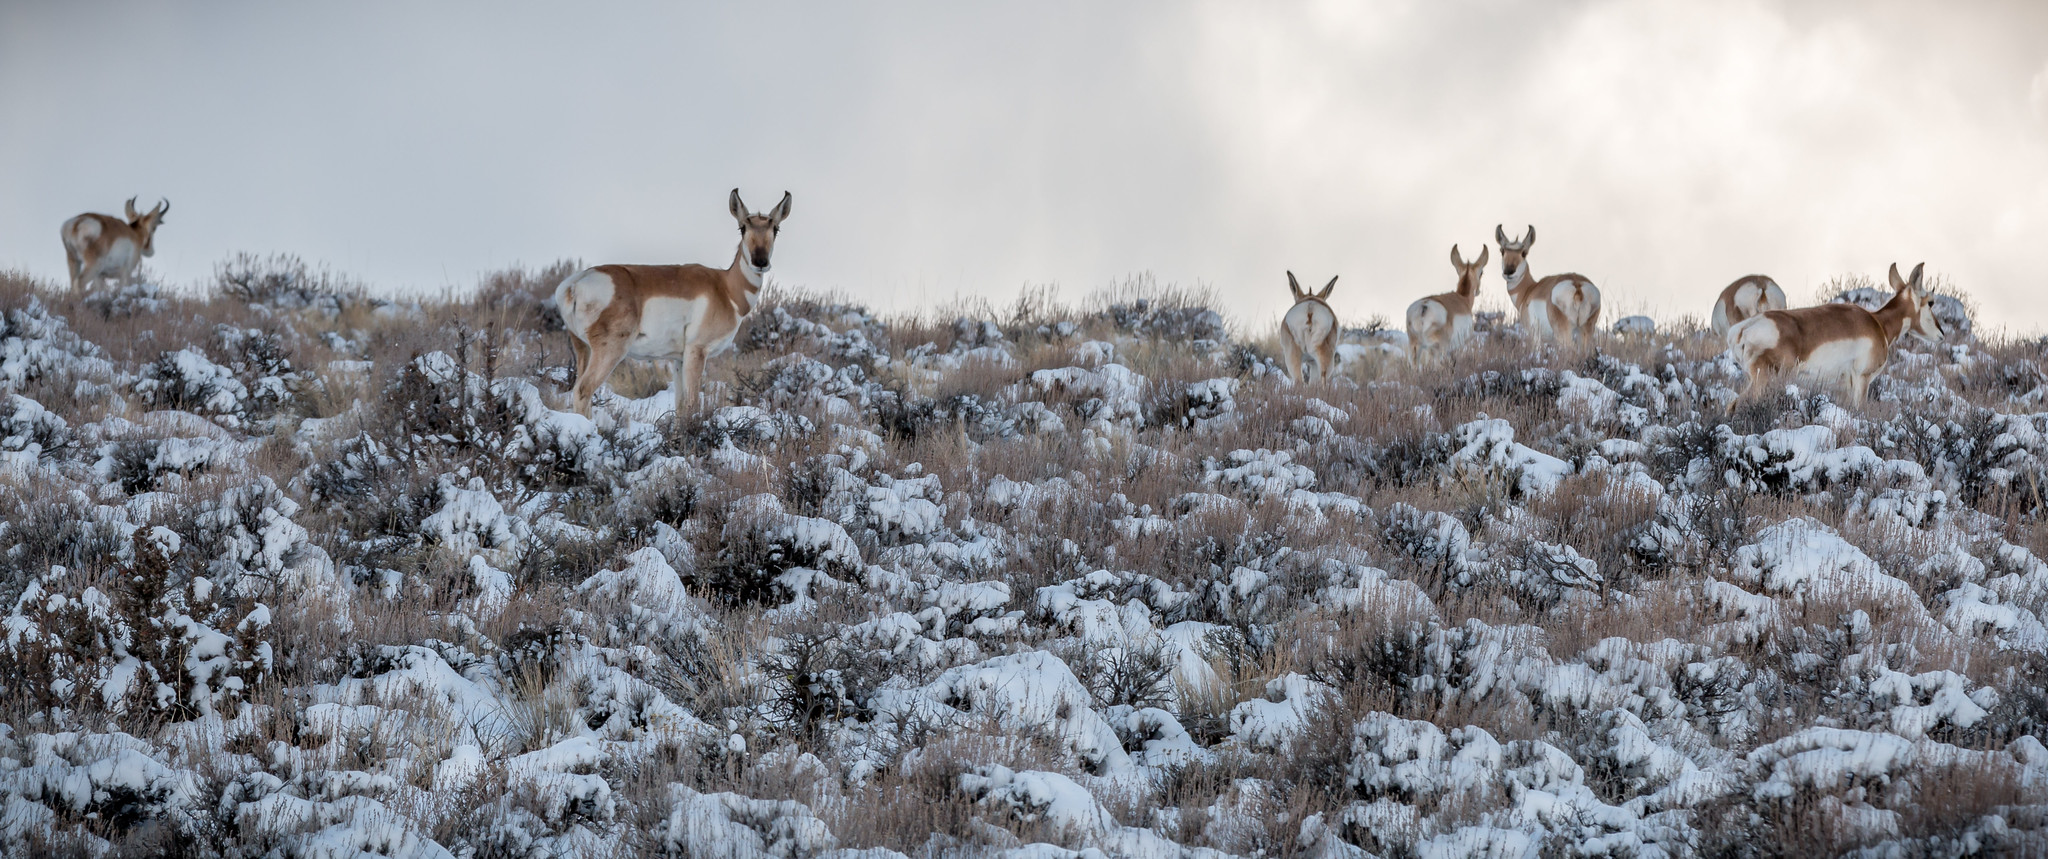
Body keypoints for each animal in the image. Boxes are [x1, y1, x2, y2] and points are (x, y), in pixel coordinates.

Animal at [553, 188, 791, 417]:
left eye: (776, 229)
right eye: (742, 227)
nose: (760, 261)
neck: (725, 288)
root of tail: (575, 283)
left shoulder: (679, 360)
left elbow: (681, 406)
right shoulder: (697, 351)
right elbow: (693, 405)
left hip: (582, 348)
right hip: (610, 350)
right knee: (583, 390)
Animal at [1726, 262, 1943, 410]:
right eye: (1931, 302)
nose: (1941, 334)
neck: (1878, 322)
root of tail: (1744, 327)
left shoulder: (1844, 388)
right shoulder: (1862, 380)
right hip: (1763, 380)